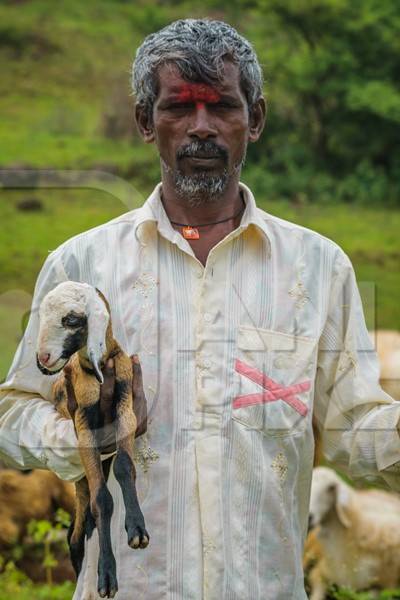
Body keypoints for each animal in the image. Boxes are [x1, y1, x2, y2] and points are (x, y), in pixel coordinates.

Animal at [35, 282, 148, 600]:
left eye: (71, 319)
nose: (43, 359)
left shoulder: (125, 408)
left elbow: (124, 466)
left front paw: (137, 529)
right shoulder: (83, 425)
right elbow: (103, 501)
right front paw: (107, 576)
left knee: (81, 526)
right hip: (80, 479)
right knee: (75, 534)